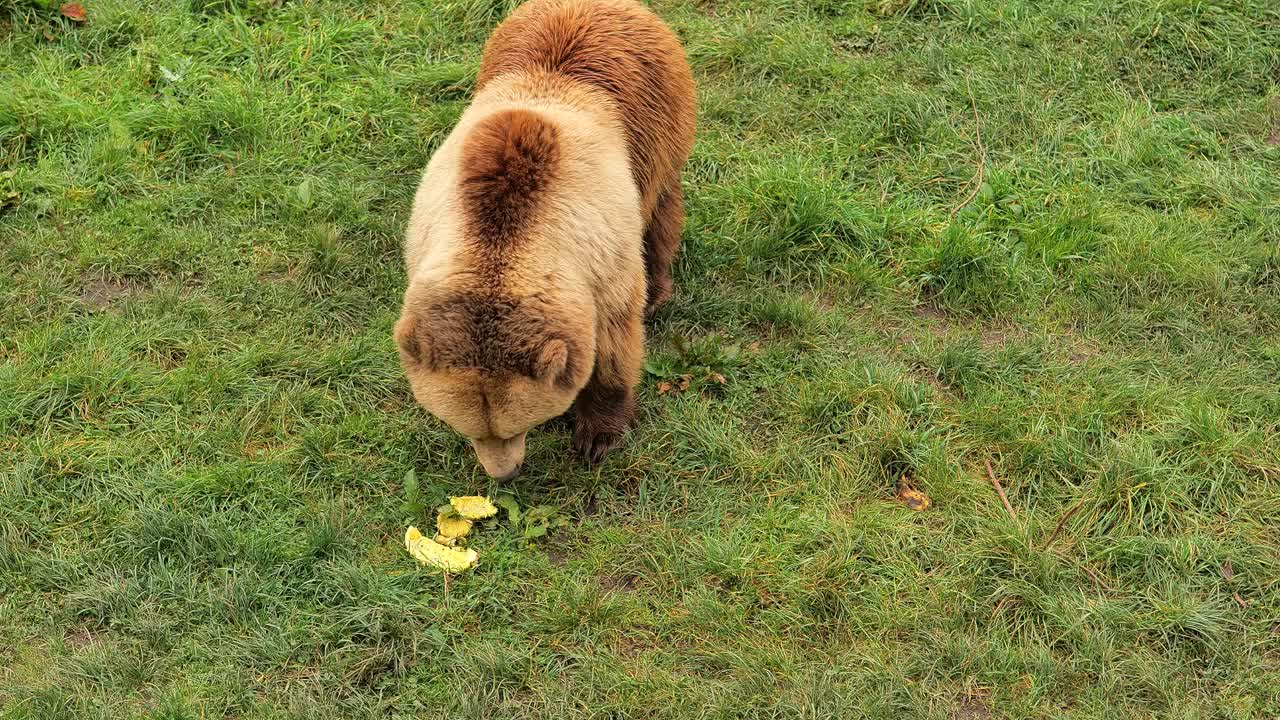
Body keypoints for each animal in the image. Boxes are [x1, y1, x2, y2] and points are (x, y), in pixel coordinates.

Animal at [394, 1, 696, 481]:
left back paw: (659, 290)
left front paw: (598, 435)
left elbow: (615, 345)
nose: (504, 473)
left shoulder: (604, 262)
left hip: (658, 122)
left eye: (518, 425)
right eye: (469, 429)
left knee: (662, 209)